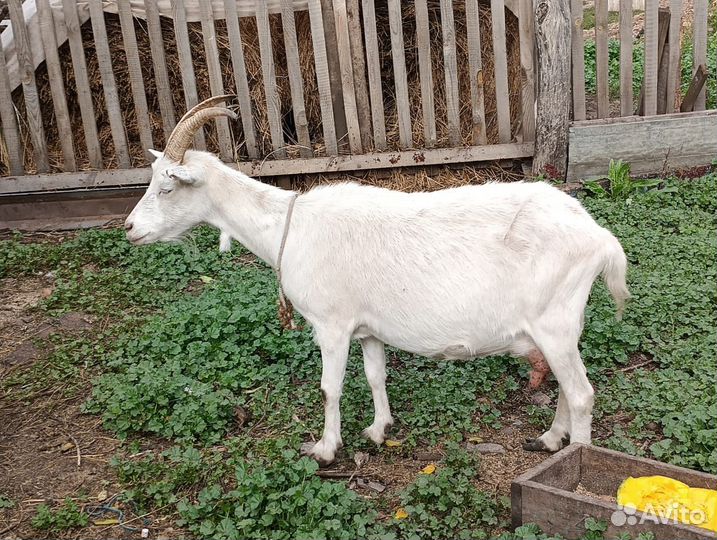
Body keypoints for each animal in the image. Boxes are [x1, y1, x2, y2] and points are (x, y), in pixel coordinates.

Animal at [125, 96, 630, 465]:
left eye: (167, 187)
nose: (130, 229)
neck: (291, 226)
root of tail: (600, 238)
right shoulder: (368, 328)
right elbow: (374, 374)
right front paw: (377, 429)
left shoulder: (331, 324)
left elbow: (330, 387)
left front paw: (325, 449)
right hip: (561, 326)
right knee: (568, 385)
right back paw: (549, 440)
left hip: (553, 322)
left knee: (582, 394)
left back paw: (576, 459)